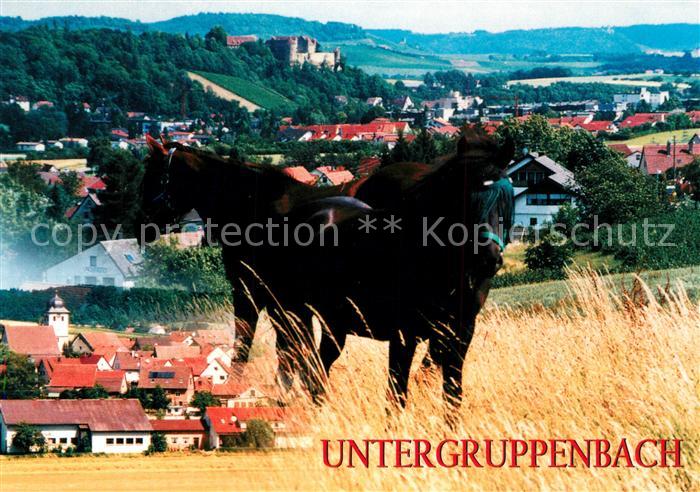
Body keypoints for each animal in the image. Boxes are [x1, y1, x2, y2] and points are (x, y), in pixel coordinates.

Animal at [140, 132, 514, 410]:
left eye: (155, 176)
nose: (143, 222)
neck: (254, 206)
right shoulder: (285, 305)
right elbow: (291, 355)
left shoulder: (253, 296)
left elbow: (253, 347)